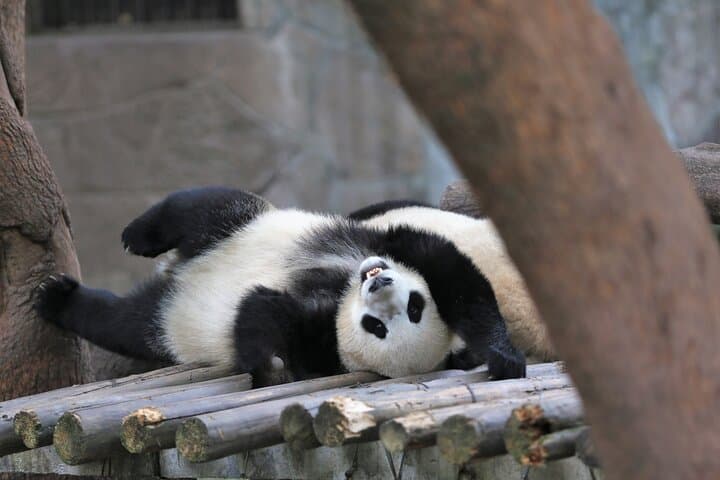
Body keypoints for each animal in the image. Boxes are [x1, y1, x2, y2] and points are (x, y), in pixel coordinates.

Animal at [34, 187, 526, 385]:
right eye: (416, 305)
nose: (380, 281)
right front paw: (503, 357)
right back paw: (137, 236)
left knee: (123, 323)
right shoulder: (387, 239)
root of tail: (179, 273)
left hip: (167, 320)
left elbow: (263, 313)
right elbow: (456, 278)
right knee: (201, 208)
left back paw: (60, 300)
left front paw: (267, 366)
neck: (340, 290)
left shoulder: (319, 343)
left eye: (381, 328)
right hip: (241, 225)